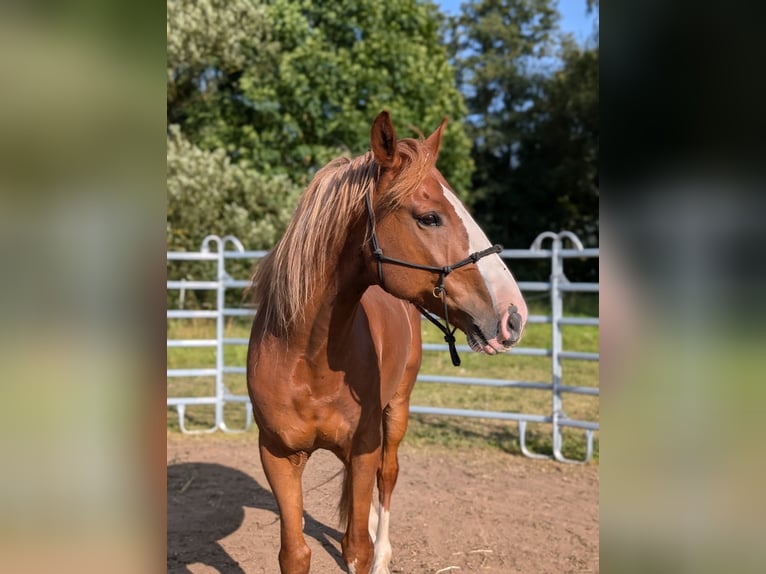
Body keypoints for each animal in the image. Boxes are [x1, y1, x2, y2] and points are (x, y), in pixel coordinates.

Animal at [249, 110, 532, 572]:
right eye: (429, 217)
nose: (514, 315)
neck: (308, 358)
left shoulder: (364, 448)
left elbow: (357, 547)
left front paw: (372, 551)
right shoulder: (278, 457)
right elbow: (295, 552)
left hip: (396, 410)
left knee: (388, 476)